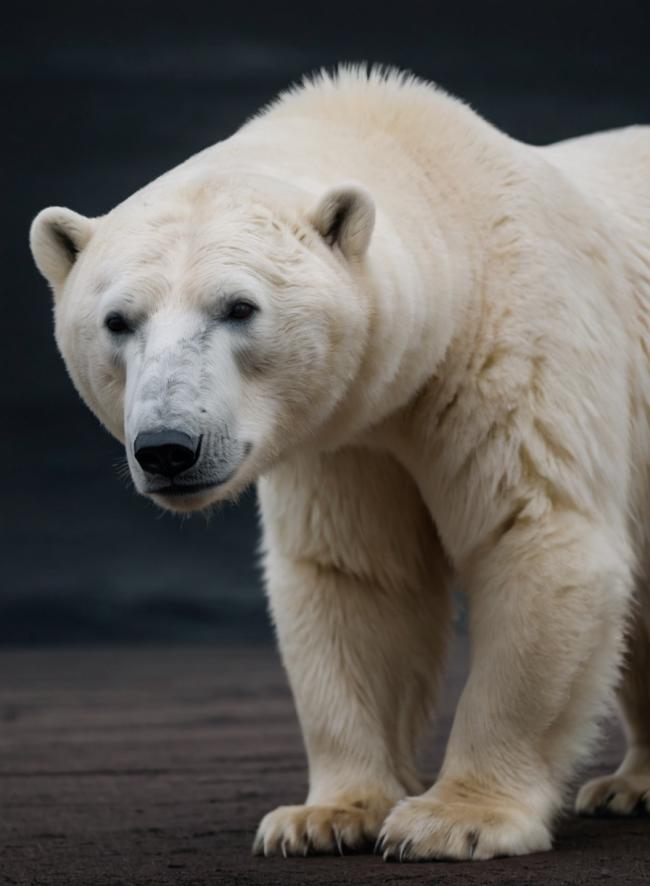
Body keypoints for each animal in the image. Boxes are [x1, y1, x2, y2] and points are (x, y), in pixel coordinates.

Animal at [29, 66, 650, 861]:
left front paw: (454, 818)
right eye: (117, 320)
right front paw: (323, 816)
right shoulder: (346, 435)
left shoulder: (518, 348)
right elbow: (357, 578)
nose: (168, 446)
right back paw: (630, 784)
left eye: (238, 307)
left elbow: (534, 533)